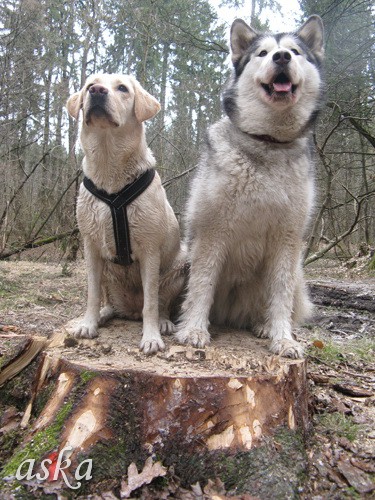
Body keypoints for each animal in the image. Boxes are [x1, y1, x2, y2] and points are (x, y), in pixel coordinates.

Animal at [67, 75, 187, 356]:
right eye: (89, 84)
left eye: (122, 88)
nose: (96, 91)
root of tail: (130, 310)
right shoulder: (89, 246)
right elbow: (91, 294)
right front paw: (88, 323)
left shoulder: (150, 252)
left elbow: (151, 303)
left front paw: (151, 337)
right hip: (108, 276)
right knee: (108, 301)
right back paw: (104, 314)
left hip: (179, 267)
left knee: (161, 303)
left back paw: (163, 322)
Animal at [177, 15, 326, 358]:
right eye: (263, 53)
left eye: (295, 52)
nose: (281, 57)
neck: (269, 142)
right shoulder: (211, 232)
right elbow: (202, 286)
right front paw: (193, 330)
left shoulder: (287, 240)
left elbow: (281, 297)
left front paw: (283, 339)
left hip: (297, 274)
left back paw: (264, 326)